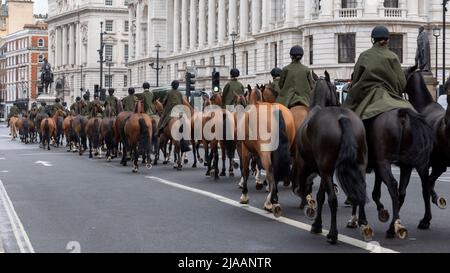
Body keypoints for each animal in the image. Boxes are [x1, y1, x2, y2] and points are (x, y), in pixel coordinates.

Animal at [294, 73, 370, 243]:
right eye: (336, 90)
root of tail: (341, 117)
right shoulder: (322, 171)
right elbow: (320, 195)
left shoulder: (321, 170)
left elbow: (321, 196)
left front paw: (317, 225)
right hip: (359, 165)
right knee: (360, 189)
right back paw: (362, 222)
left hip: (327, 170)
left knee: (333, 200)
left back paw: (333, 234)